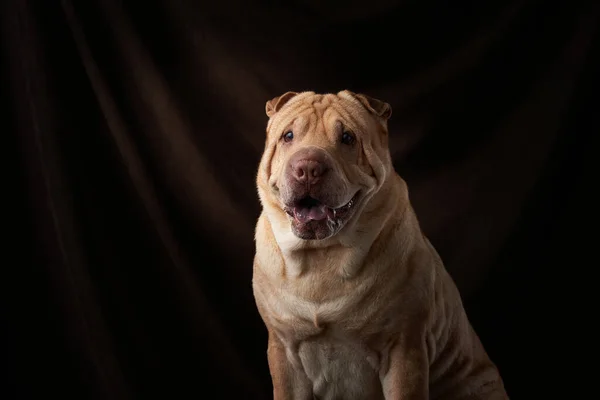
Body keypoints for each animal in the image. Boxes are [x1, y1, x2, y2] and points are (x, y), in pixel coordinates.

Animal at [251, 91, 508, 400]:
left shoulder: (403, 350)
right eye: (288, 135)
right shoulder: (284, 351)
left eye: (347, 138)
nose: (308, 168)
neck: (323, 255)